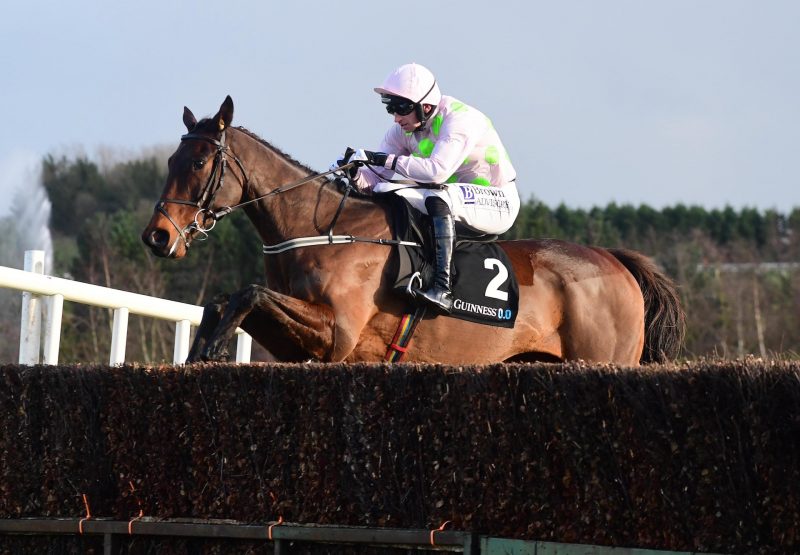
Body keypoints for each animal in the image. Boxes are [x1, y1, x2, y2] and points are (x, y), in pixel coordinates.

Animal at [141, 96, 684, 364]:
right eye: (168, 161)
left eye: (199, 162)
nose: (157, 236)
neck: (321, 228)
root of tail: (617, 262)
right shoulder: (299, 349)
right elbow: (226, 299)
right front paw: (201, 348)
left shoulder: (336, 335)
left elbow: (249, 292)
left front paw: (211, 349)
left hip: (603, 360)